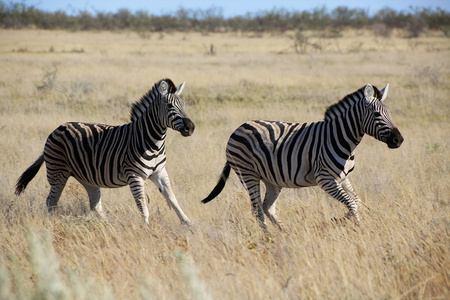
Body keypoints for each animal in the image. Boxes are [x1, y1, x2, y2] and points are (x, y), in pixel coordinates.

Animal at [15, 78, 195, 225]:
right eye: (169, 106)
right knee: (51, 201)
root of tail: (57, 128)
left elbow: (172, 199)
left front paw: (188, 223)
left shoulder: (160, 172)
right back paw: (53, 223)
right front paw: (147, 230)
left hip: (86, 177)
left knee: (94, 204)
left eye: (185, 105)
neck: (152, 142)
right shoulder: (134, 176)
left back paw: (108, 226)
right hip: (57, 173)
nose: (190, 127)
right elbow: (143, 207)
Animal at [201, 83, 404, 229]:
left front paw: (340, 219)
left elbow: (356, 201)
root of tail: (239, 127)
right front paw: (357, 226)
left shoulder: (344, 178)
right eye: (377, 114)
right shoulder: (325, 179)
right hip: (247, 173)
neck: (341, 138)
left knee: (267, 207)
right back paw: (268, 238)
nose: (399, 140)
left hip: (271, 179)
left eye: (389, 113)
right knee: (257, 210)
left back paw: (284, 233)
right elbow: (351, 203)